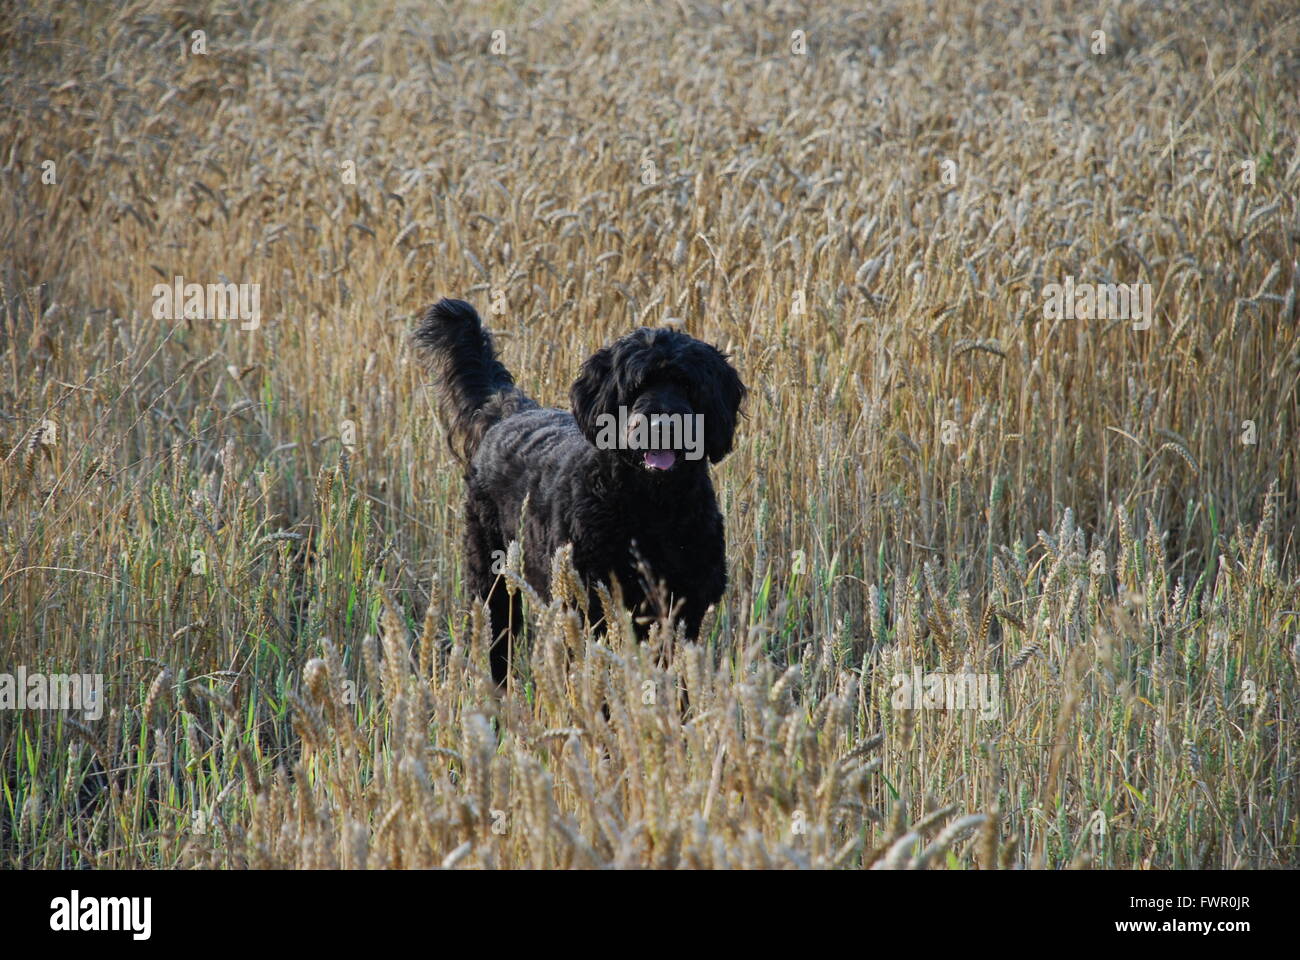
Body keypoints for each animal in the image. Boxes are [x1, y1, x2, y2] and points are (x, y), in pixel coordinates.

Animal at [410, 297, 748, 681]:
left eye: (688, 386)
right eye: (636, 387)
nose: (661, 424)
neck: (652, 506)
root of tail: (505, 410)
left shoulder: (684, 611)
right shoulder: (587, 605)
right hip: (490, 576)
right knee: (497, 641)